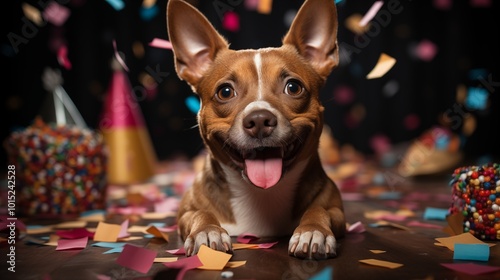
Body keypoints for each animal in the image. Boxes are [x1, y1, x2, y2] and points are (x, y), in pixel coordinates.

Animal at [166, 0, 346, 260]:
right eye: (225, 92)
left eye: (293, 87)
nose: (259, 120)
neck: (262, 194)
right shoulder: (186, 213)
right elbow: (200, 213)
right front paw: (207, 231)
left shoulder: (337, 211)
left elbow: (319, 209)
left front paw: (313, 231)